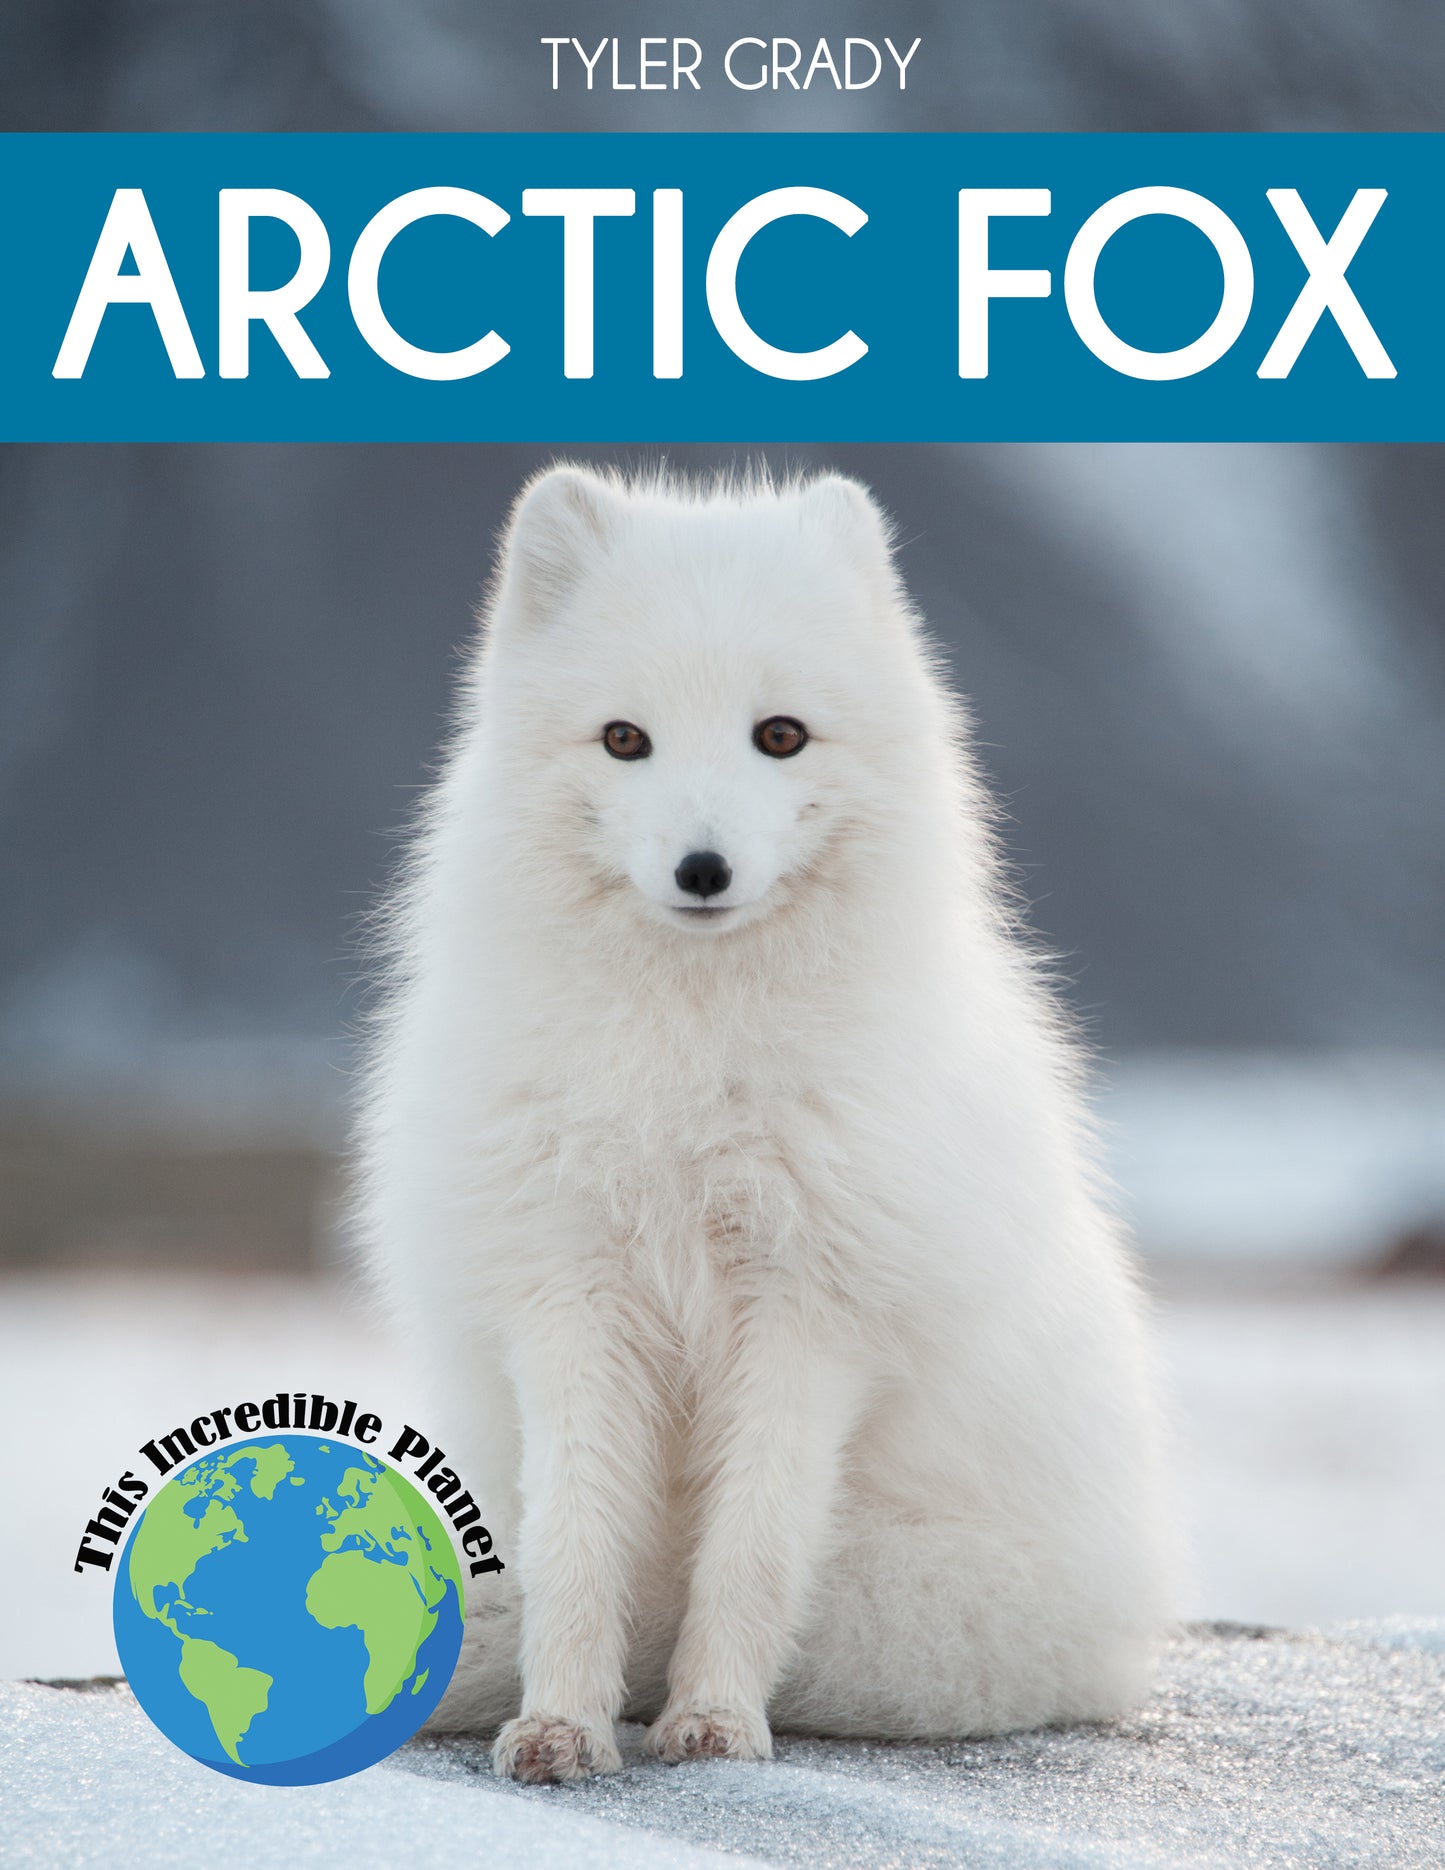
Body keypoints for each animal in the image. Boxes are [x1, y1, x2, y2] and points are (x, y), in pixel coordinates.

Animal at [355, 463, 1179, 1783]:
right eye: (624, 737)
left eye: (778, 733)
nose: (702, 868)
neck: (688, 1073)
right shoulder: (567, 1294)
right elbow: (575, 1540)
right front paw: (561, 1723)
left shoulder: (810, 1312)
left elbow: (747, 1547)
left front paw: (711, 1719)